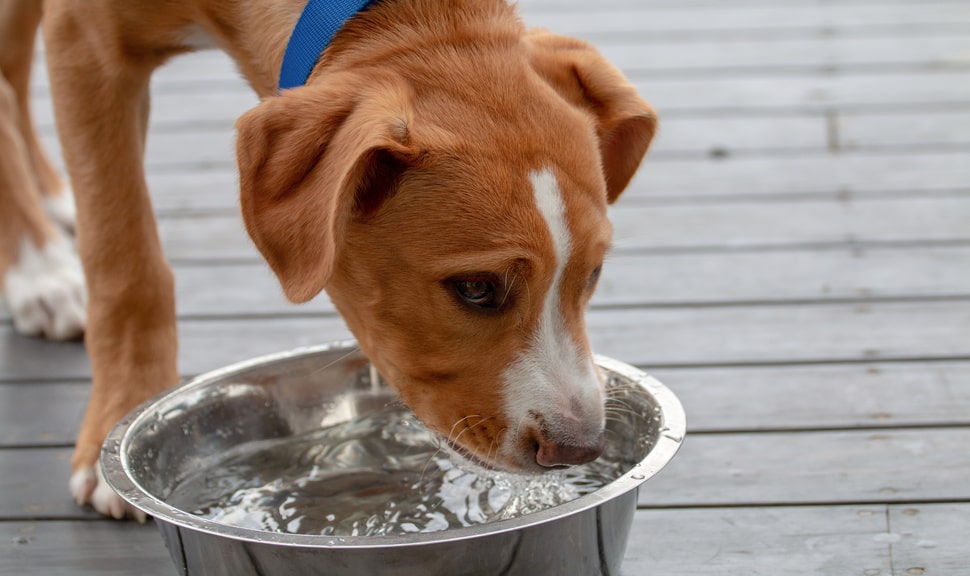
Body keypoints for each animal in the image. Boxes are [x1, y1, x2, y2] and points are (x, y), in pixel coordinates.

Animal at [0, 0, 656, 520]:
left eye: (593, 274)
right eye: (475, 287)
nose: (577, 449)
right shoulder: (85, 36)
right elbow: (125, 257)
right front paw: (120, 411)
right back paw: (38, 270)